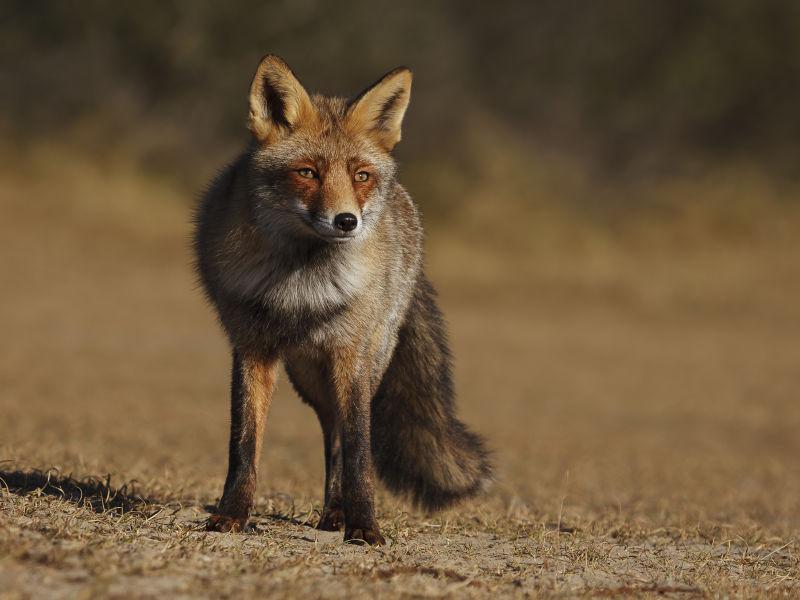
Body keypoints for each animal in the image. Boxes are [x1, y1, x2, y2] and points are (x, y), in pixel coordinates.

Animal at [195, 55, 494, 544]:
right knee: (328, 429)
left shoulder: (349, 354)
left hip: (365, 360)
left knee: (340, 432)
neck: (301, 284)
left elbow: (358, 449)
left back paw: (337, 512)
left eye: (360, 176)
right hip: (306, 374)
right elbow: (244, 443)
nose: (347, 221)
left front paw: (365, 526)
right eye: (307, 172)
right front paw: (232, 515)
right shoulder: (252, 347)